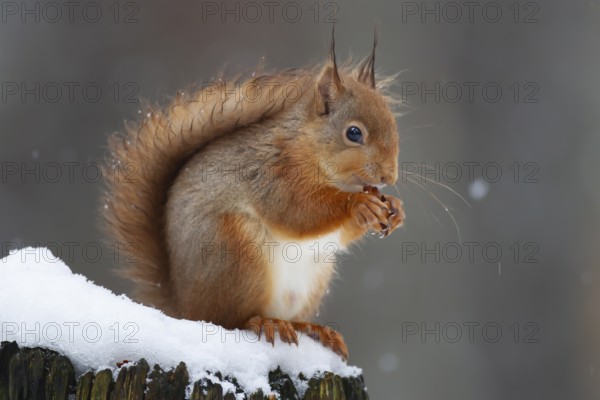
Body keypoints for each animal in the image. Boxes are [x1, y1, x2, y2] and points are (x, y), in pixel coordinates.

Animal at [103, 32, 406, 360]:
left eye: (394, 126)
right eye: (353, 133)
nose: (389, 177)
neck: (307, 147)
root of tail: (183, 309)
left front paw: (395, 209)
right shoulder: (270, 173)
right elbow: (297, 212)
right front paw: (358, 204)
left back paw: (311, 328)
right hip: (236, 251)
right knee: (229, 319)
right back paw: (263, 322)